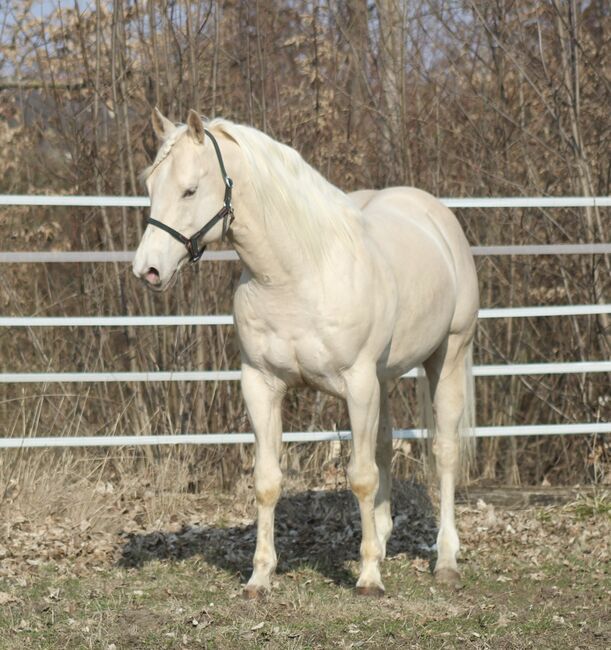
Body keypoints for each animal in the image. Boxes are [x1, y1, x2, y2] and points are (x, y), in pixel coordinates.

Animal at [133, 108, 479, 597]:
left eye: (190, 190)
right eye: (150, 186)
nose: (147, 270)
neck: (296, 276)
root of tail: (436, 216)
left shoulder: (357, 383)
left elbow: (360, 477)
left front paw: (368, 577)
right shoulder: (261, 385)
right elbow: (267, 481)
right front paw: (259, 577)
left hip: (447, 356)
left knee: (444, 453)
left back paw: (446, 560)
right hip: (384, 379)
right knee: (385, 447)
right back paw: (383, 540)